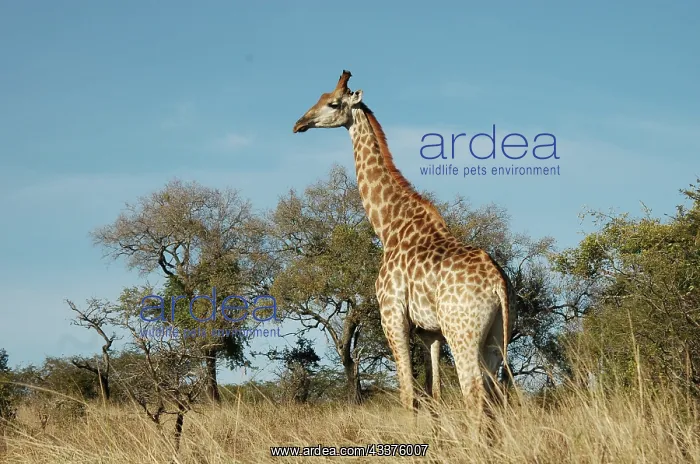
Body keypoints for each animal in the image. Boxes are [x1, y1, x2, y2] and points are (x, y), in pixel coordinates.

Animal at [293, 71, 516, 414]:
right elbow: (434, 394)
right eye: (319, 97)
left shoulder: (392, 315)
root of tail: (498, 284)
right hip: (495, 337)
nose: (299, 123)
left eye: (333, 103)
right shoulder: (430, 333)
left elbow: (408, 395)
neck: (389, 227)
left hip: (462, 332)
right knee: (495, 398)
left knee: (474, 394)